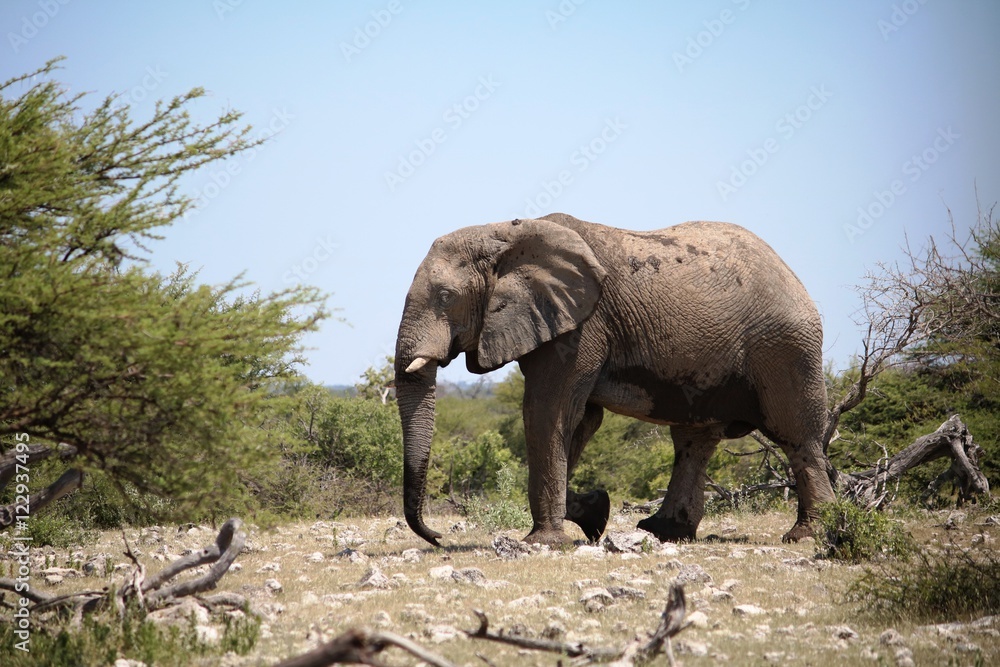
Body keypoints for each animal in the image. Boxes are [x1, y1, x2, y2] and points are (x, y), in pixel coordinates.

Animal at [394, 213, 836, 547]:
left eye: (446, 297)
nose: (438, 538)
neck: (505, 230)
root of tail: (791, 273)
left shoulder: (581, 326)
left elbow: (547, 411)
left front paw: (543, 541)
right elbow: (581, 419)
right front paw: (595, 514)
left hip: (783, 348)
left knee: (796, 435)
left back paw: (806, 536)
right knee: (693, 440)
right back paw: (663, 532)